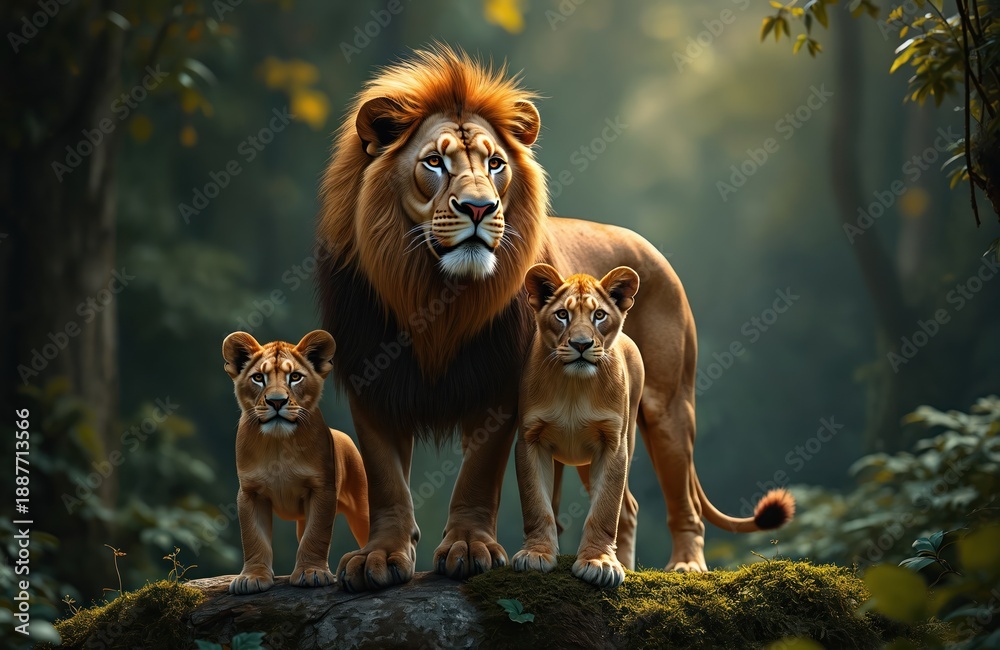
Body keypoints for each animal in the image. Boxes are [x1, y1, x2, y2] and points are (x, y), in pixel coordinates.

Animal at [222, 330, 369, 594]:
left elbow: (316, 534)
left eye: (295, 377)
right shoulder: (249, 493)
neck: (279, 444)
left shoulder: (322, 490)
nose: (276, 401)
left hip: (361, 504)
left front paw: (312, 573)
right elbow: (253, 538)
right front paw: (252, 577)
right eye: (258, 378)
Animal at [317, 46, 794, 592]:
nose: (480, 208)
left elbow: (478, 474)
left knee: (681, 502)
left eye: (496, 164)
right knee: (627, 504)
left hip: (667, 406)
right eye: (434, 162)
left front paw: (469, 549)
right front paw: (379, 556)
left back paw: (686, 566)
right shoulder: (372, 382)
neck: (436, 293)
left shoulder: (501, 389)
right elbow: (387, 481)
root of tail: (651, 249)